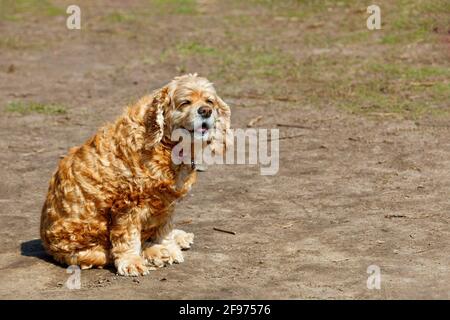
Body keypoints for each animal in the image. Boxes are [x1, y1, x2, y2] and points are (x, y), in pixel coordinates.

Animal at [40, 74, 230, 276]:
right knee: (107, 252)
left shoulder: (166, 202)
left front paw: (167, 246)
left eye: (209, 101)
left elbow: (164, 229)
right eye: (185, 102)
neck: (164, 144)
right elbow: (128, 237)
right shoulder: (127, 203)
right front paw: (134, 260)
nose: (206, 111)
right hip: (81, 247)